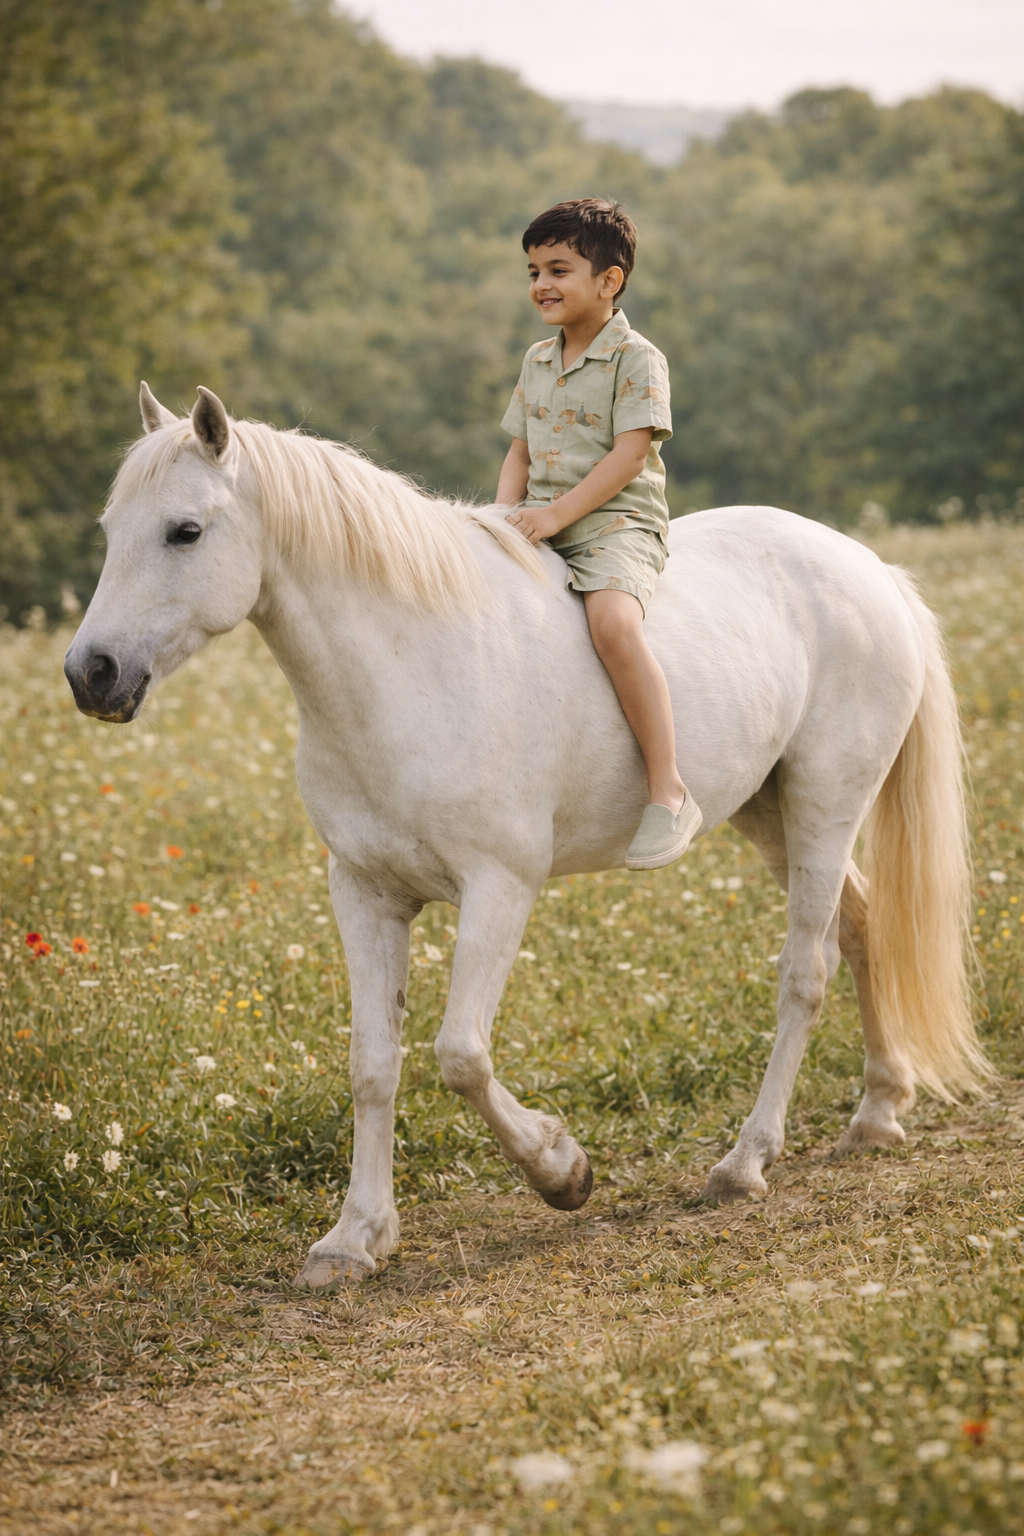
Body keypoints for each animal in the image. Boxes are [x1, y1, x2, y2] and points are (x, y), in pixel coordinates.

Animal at [64, 383, 988, 1288]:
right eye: (110, 530)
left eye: (185, 530)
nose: (90, 674)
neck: (408, 663)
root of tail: (869, 568)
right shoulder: (365, 895)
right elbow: (373, 1064)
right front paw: (354, 1238)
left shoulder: (500, 888)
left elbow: (460, 1055)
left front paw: (561, 1170)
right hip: (770, 813)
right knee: (861, 929)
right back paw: (878, 1111)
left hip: (827, 803)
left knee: (806, 971)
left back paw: (745, 1161)